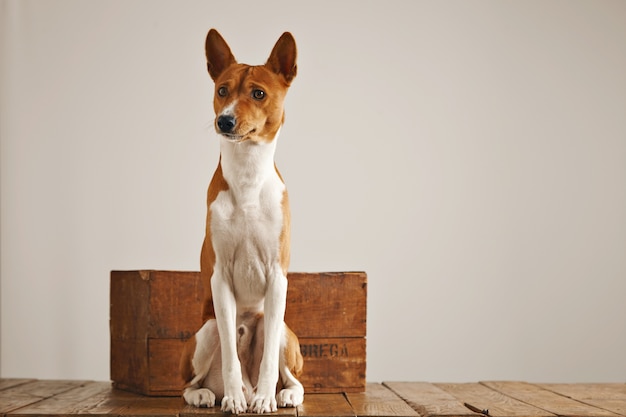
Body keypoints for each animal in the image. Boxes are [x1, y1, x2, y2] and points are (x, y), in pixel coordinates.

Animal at [179, 30, 304, 412]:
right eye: (222, 90)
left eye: (258, 93)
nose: (225, 121)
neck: (248, 178)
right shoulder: (219, 279)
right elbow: (232, 359)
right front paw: (233, 399)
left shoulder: (278, 278)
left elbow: (267, 360)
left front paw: (265, 398)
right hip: (205, 332)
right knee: (187, 384)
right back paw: (208, 395)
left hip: (285, 333)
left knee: (294, 378)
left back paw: (280, 394)